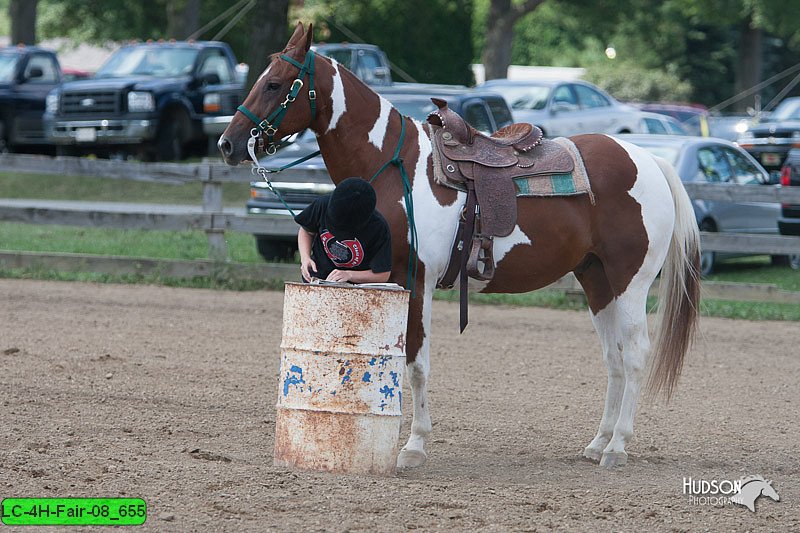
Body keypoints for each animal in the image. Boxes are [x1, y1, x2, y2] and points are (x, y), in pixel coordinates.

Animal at [220, 22, 700, 468]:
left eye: (275, 83)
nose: (227, 143)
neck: (393, 167)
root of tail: (651, 161)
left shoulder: (416, 281)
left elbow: (416, 364)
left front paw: (413, 447)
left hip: (630, 283)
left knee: (634, 355)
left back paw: (617, 447)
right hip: (596, 280)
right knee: (613, 358)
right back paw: (598, 442)